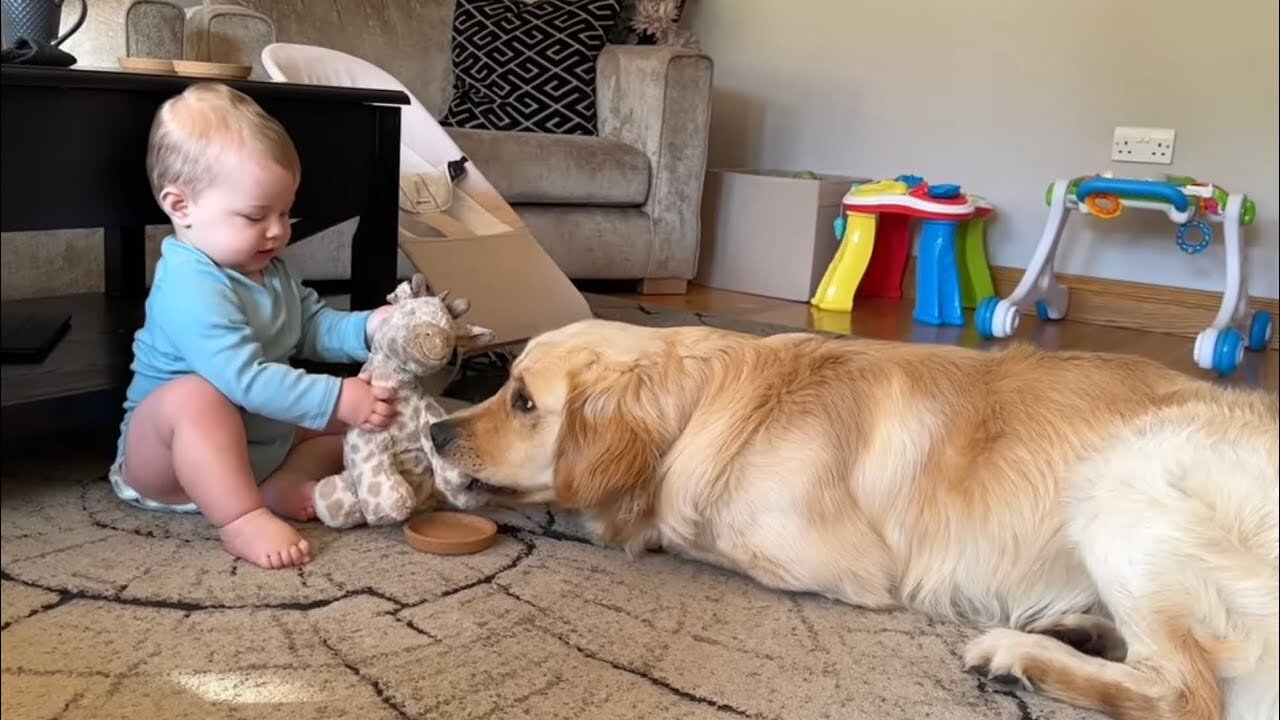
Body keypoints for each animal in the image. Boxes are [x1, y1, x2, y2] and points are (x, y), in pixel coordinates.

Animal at [432, 319, 1280, 717]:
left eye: (524, 401)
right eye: (503, 385)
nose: (435, 432)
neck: (705, 403)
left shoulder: (822, 558)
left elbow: (685, 527)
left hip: (1122, 479)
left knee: (1185, 693)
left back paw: (1019, 653)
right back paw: (1073, 628)